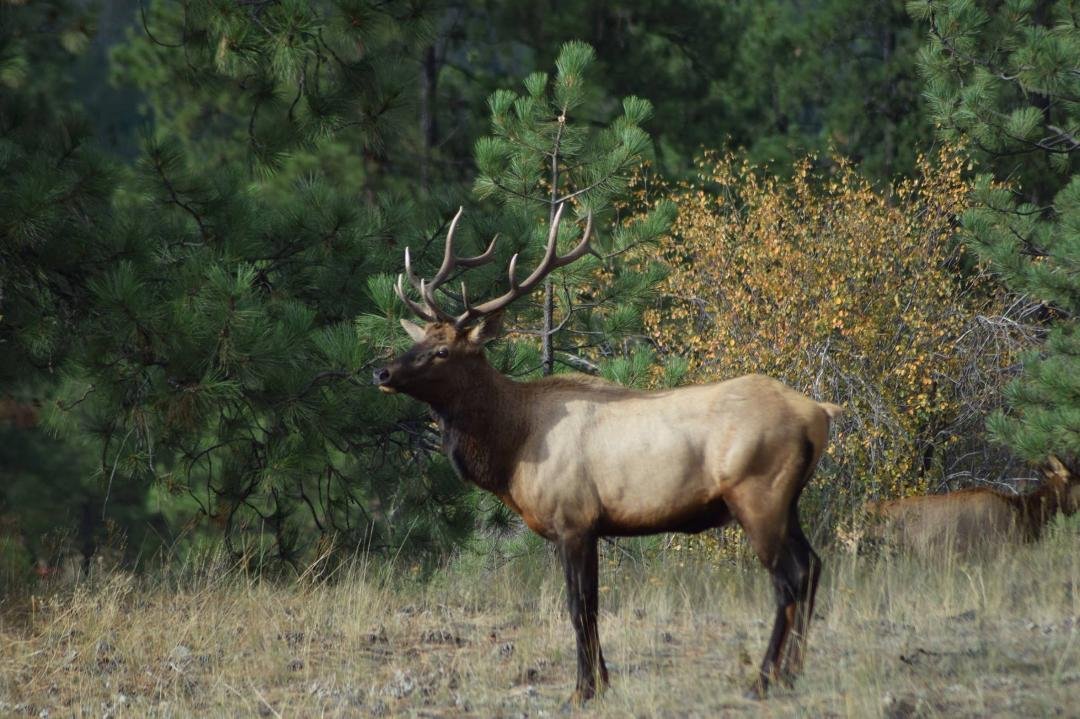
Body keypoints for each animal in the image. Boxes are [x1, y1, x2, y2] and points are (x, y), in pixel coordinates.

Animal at [373, 204, 843, 703]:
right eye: (417, 340)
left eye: (442, 350)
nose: (381, 372)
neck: (512, 449)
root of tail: (820, 413)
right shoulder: (591, 527)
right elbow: (591, 605)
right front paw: (601, 682)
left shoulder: (574, 519)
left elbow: (579, 606)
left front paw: (583, 689)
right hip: (788, 499)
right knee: (812, 566)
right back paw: (790, 673)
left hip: (758, 493)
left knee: (788, 578)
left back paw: (764, 679)